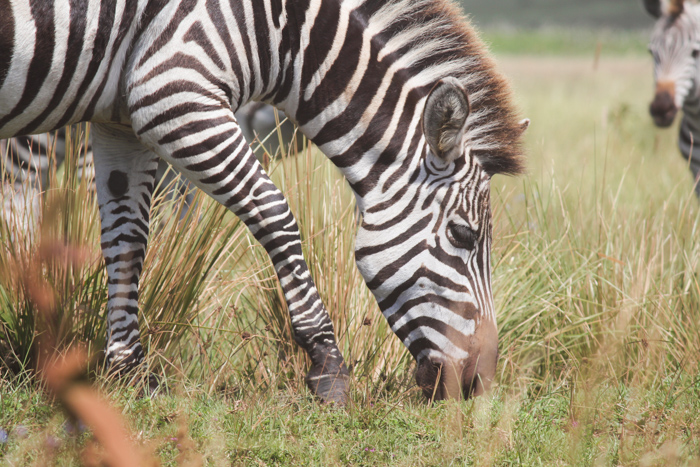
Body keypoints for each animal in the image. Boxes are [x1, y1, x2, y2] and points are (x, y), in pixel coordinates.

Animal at [0, 0, 524, 402]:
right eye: (463, 234)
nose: (477, 384)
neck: (280, 32)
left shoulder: (121, 123)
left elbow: (127, 242)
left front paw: (129, 374)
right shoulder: (174, 93)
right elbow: (275, 214)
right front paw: (327, 365)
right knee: (21, 187)